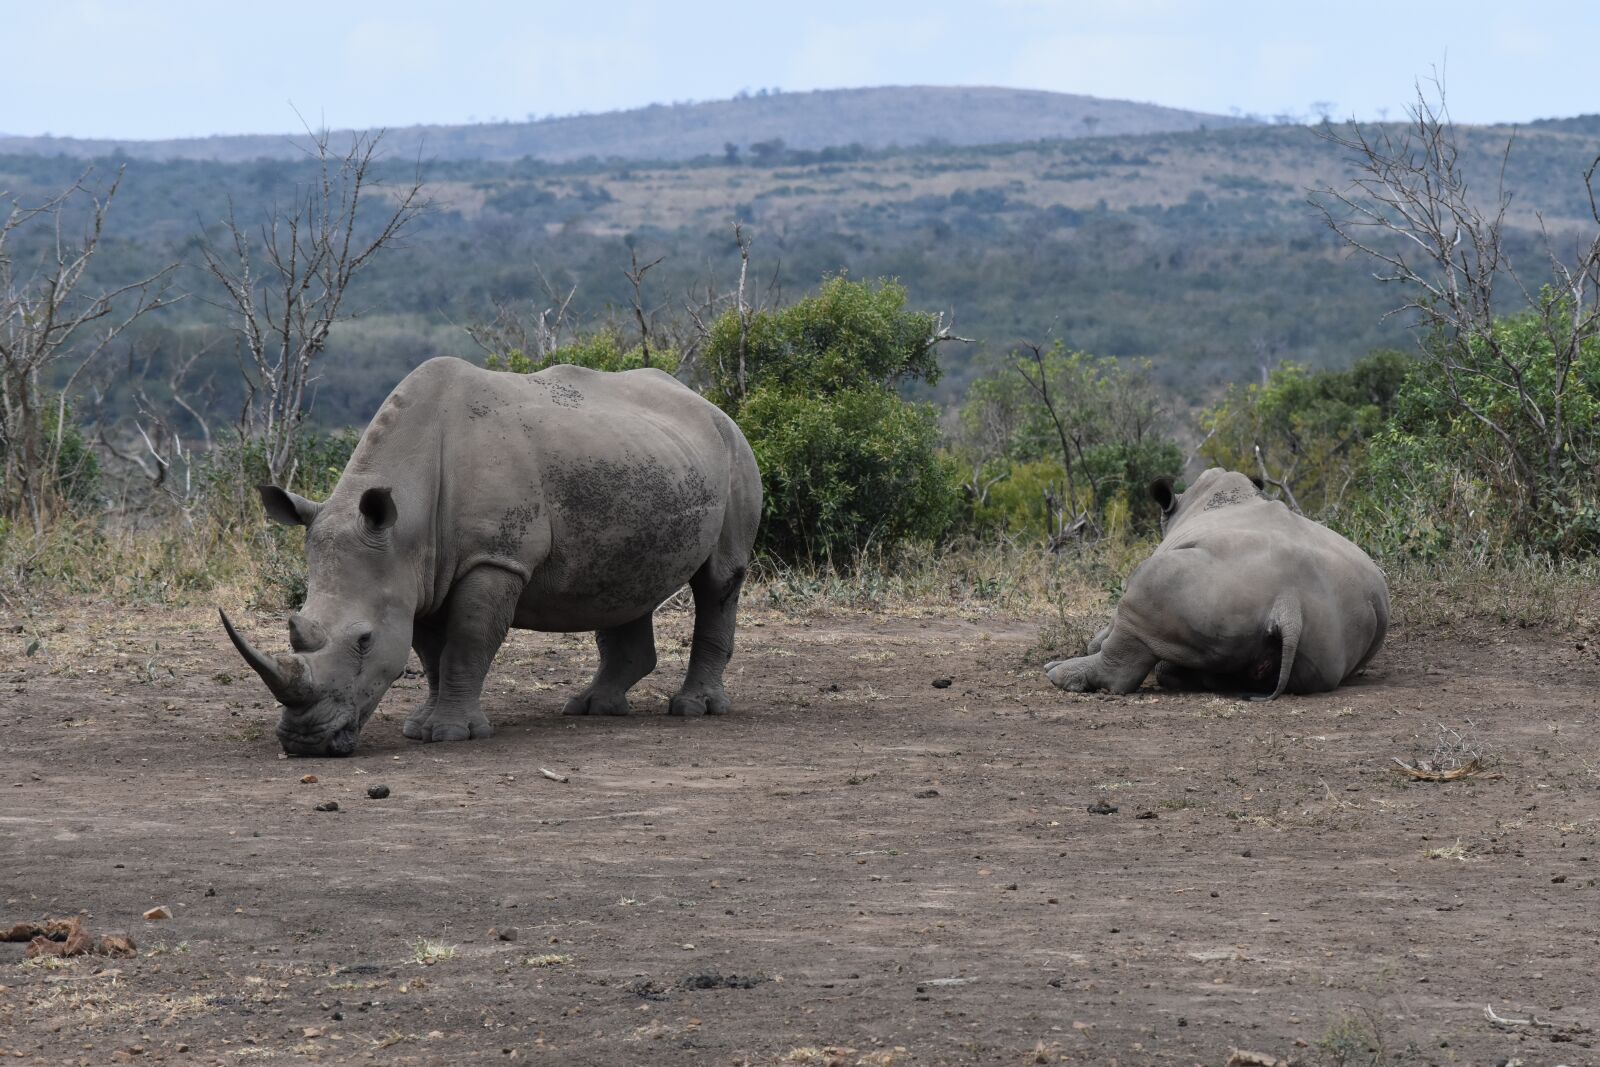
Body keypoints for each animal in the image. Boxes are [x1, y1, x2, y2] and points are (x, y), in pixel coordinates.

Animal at [221, 356, 762, 757]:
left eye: (364, 640)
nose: (303, 743)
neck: (405, 524)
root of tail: (710, 404)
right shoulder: (422, 574)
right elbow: (430, 652)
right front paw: (421, 727)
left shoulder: (495, 557)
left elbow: (467, 641)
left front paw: (451, 735)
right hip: (646, 462)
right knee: (624, 583)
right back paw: (590, 707)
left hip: (735, 451)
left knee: (719, 580)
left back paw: (693, 709)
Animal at [1045, 468, 1388, 698]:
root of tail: (1290, 605)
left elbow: (1113, 624)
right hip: (1335, 630)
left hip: (1200, 587)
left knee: (1144, 591)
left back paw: (1057, 674)